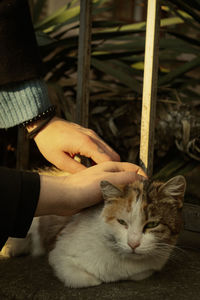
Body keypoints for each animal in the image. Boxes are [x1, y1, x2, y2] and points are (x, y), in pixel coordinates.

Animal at [1, 176, 186, 288]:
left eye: (152, 224)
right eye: (122, 222)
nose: (133, 244)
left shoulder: (149, 267)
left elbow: (141, 273)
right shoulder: (59, 254)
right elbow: (85, 279)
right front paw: (96, 279)